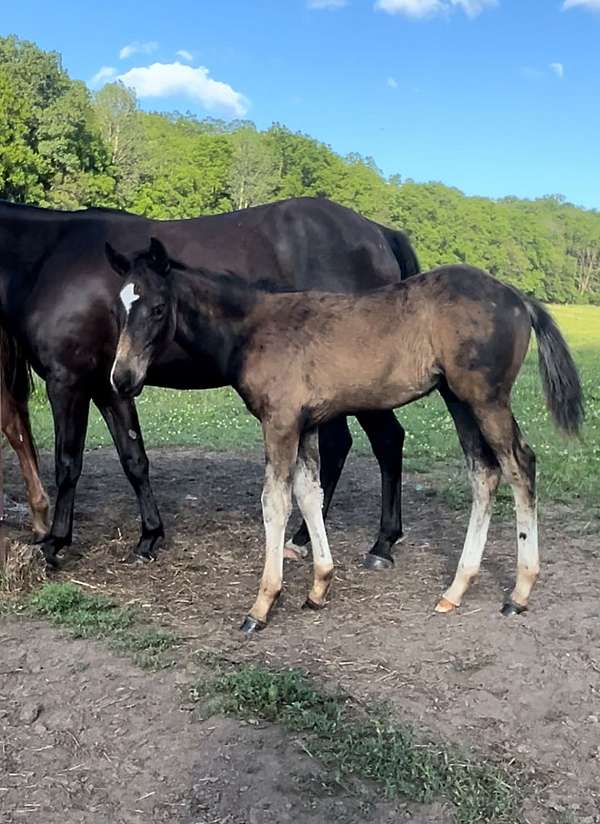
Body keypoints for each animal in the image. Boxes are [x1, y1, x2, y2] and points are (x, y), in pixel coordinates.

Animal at [0, 197, 420, 568]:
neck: (49, 256)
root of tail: (379, 233)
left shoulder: (67, 381)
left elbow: (68, 462)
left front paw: (55, 542)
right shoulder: (111, 385)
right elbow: (134, 459)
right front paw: (149, 537)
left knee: (386, 441)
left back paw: (381, 545)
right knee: (340, 447)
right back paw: (303, 538)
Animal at [106, 240, 580, 636]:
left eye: (158, 308)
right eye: (119, 309)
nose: (122, 379)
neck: (254, 329)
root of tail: (518, 297)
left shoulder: (280, 423)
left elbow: (275, 503)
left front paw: (262, 605)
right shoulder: (306, 424)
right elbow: (309, 493)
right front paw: (319, 586)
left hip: (486, 398)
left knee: (520, 465)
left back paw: (519, 592)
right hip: (458, 399)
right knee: (484, 473)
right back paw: (456, 589)